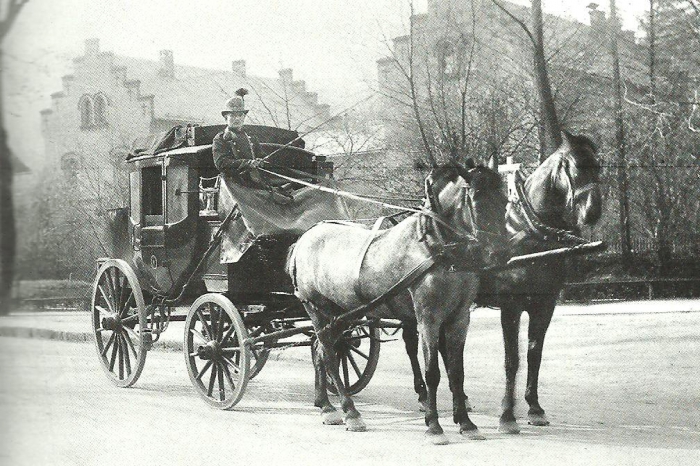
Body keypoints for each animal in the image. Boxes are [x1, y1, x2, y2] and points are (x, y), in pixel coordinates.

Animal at [402, 131, 604, 434]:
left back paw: (460, 398)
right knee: (412, 343)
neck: (530, 234)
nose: (593, 211)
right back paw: (424, 395)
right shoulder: (511, 306)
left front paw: (534, 407)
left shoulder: (545, 304)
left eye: (598, 166)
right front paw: (508, 415)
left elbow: (534, 355)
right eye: (576, 166)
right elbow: (512, 360)